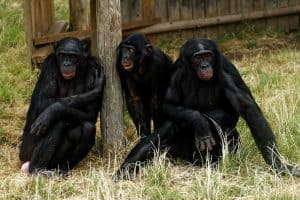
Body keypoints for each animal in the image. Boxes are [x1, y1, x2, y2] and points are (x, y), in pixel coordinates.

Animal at [19, 38, 105, 175]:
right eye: (62, 55)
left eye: (72, 56)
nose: (66, 63)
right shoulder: (49, 66)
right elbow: (42, 102)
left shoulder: (94, 69)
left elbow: (90, 114)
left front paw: (55, 109)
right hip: (26, 151)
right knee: (56, 122)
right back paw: (37, 170)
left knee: (87, 128)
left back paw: (62, 170)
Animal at [113, 38, 300, 180]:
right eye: (197, 58)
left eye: (208, 56)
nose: (204, 65)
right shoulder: (176, 71)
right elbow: (168, 104)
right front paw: (199, 122)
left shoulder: (226, 72)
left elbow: (249, 109)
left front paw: (280, 166)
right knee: (173, 125)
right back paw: (127, 168)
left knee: (218, 117)